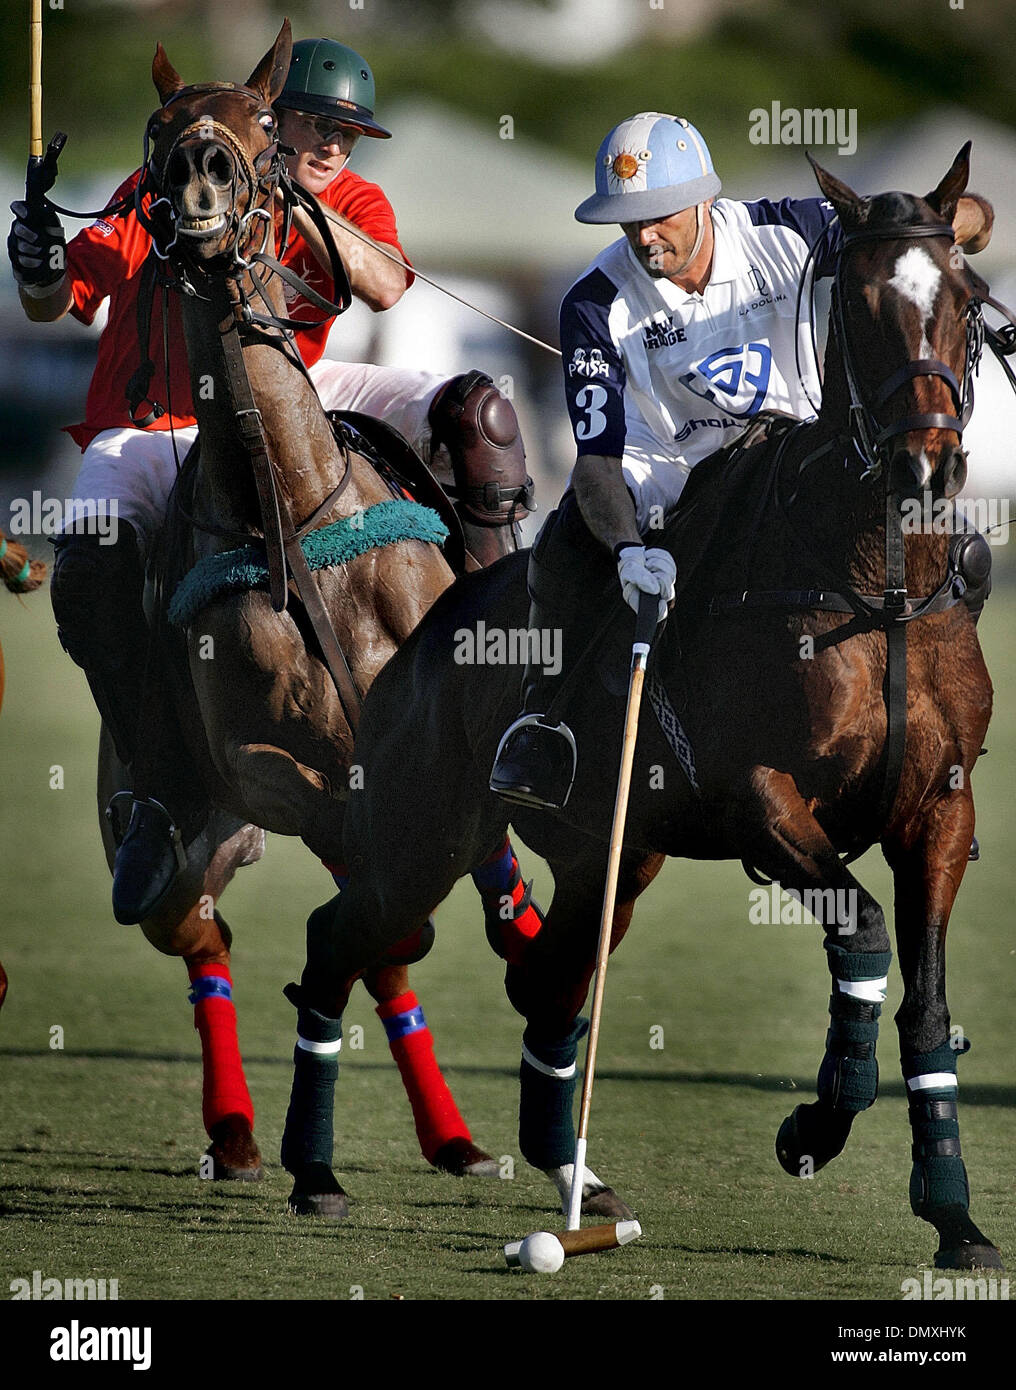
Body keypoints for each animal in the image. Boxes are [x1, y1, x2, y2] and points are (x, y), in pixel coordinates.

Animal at [93, 21, 539, 1200]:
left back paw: (450, 1133)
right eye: (160, 125)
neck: (289, 509)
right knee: (209, 938)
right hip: (180, 841)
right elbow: (356, 880)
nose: (202, 173)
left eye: (262, 130)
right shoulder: (266, 763)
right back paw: (245, 1137)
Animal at [282, 146, 1006, 1267]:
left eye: (965, 301)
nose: (923, 467)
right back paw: (311, 1172)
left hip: (610, 859)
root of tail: (418, 644)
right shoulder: (761, 800)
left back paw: (572, 1181)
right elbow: (862, 934)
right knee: (337, 941)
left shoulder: (940, 809)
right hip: (420, 840)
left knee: (544, 985)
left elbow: (925, 1006)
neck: (874, 587)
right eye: (859, 304)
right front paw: (813, 1127)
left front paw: (953, 1217)